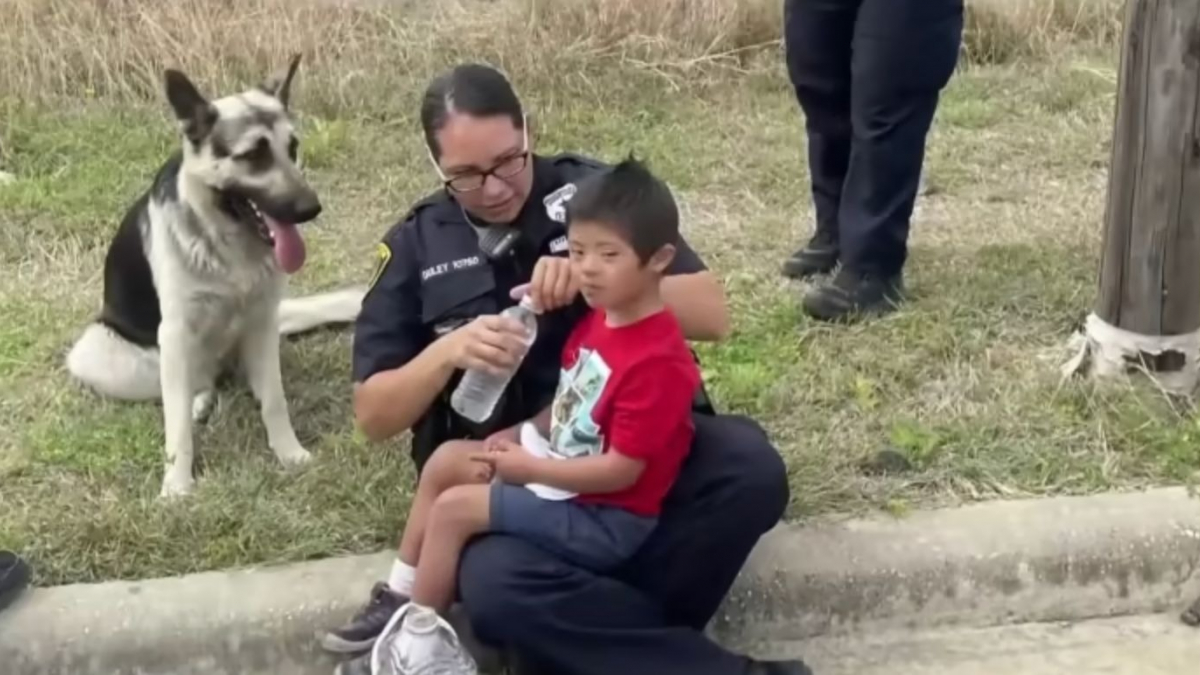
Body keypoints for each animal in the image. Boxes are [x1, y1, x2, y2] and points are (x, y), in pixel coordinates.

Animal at [65, 56, 362, 494]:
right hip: (100, 356)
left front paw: (289, 454)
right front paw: (176, 486)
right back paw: (197, 403)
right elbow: (176, 430)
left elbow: (275, 401)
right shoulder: (174, 333)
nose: (311, 209)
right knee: (187, 387)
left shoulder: (262, 322)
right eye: (253, 155)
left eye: (292, 149)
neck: (229, 248)